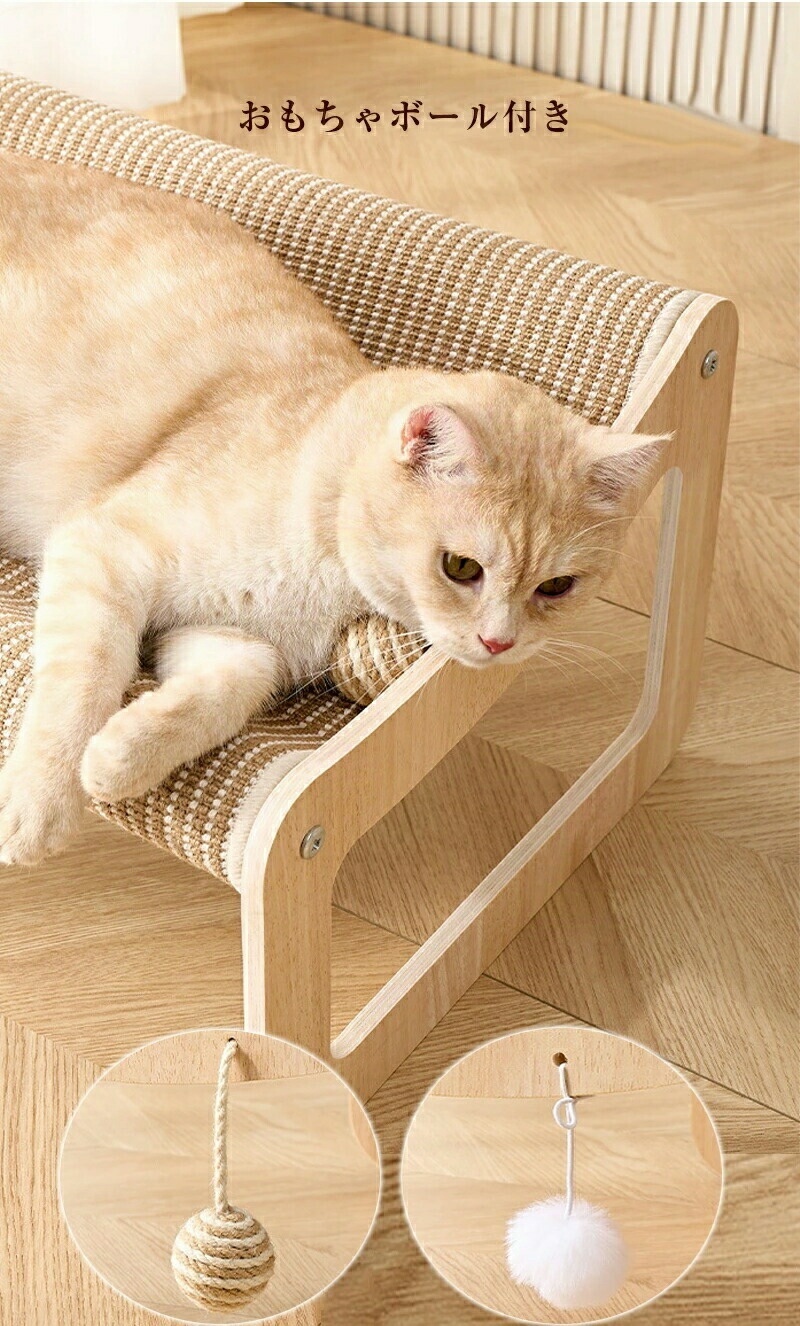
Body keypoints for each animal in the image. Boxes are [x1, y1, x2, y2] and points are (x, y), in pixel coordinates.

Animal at [0, 151, 664, 865]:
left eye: (557, 587)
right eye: (460, 568)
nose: (499, 642)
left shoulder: (223, 634)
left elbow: (235, 683)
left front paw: (121, 757)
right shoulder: (101, 547)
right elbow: (85, 679)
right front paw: (39, 804)